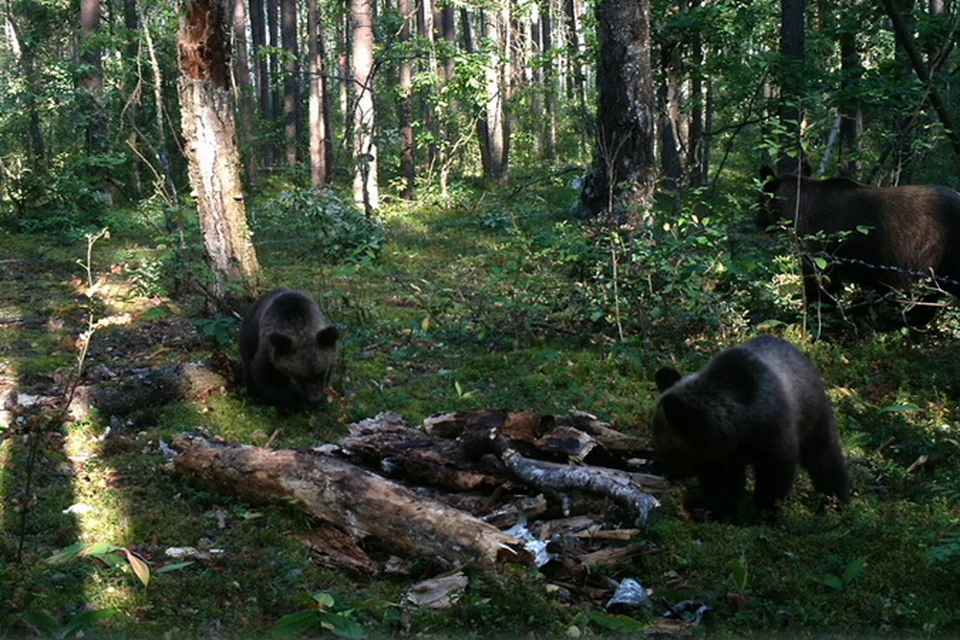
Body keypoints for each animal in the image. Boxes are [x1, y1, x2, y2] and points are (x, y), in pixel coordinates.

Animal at [652, 336, 848, 520]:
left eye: (665, 451)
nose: (663, 471)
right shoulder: (723, 456)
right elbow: (723, 483)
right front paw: (719, 511)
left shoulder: (774, 435)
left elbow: (774, 476)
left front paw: (763, 511)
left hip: (813, 416)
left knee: (824, 456)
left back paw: (836, 501)